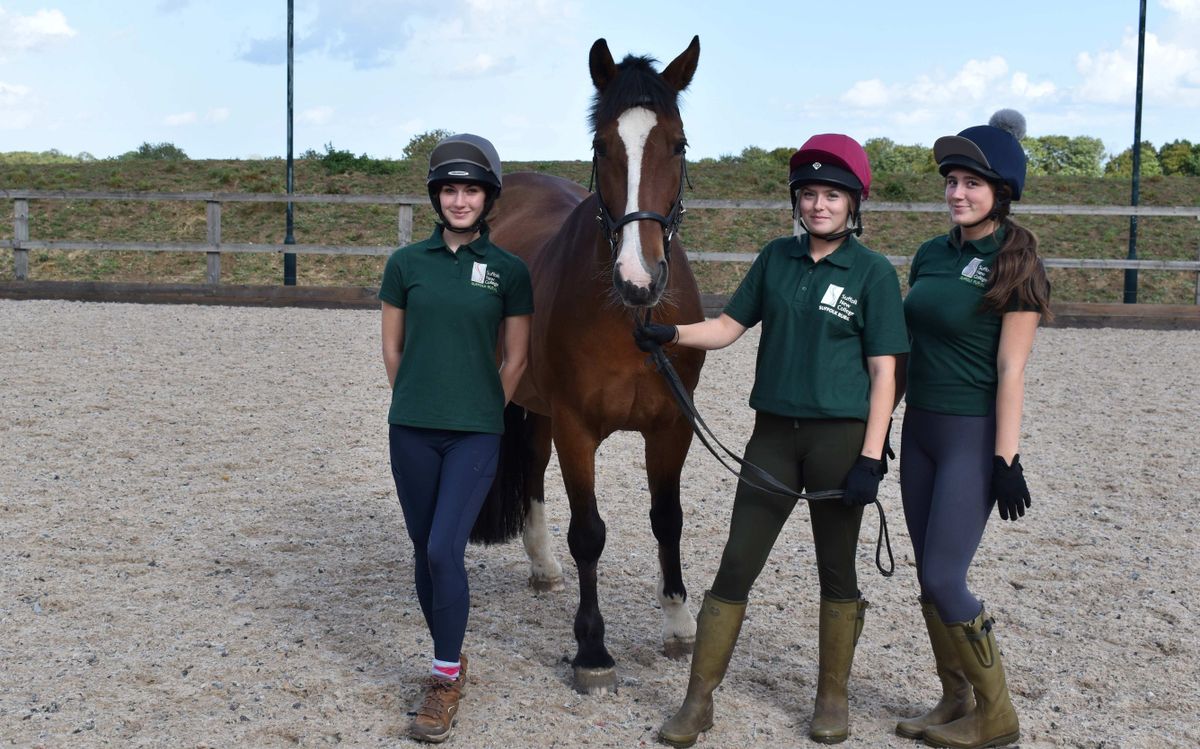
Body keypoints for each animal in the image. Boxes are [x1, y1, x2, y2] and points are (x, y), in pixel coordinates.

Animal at [477, 36, 706, 694]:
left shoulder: (672, 427)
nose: (639, 277)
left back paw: (543, 566)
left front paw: (679, 625)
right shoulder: (577, 427)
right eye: (602, 145)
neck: (630, 318)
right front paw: (593, 650)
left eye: (678, 143)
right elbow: (590, 532)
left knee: (531, 462)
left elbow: (667, 519)